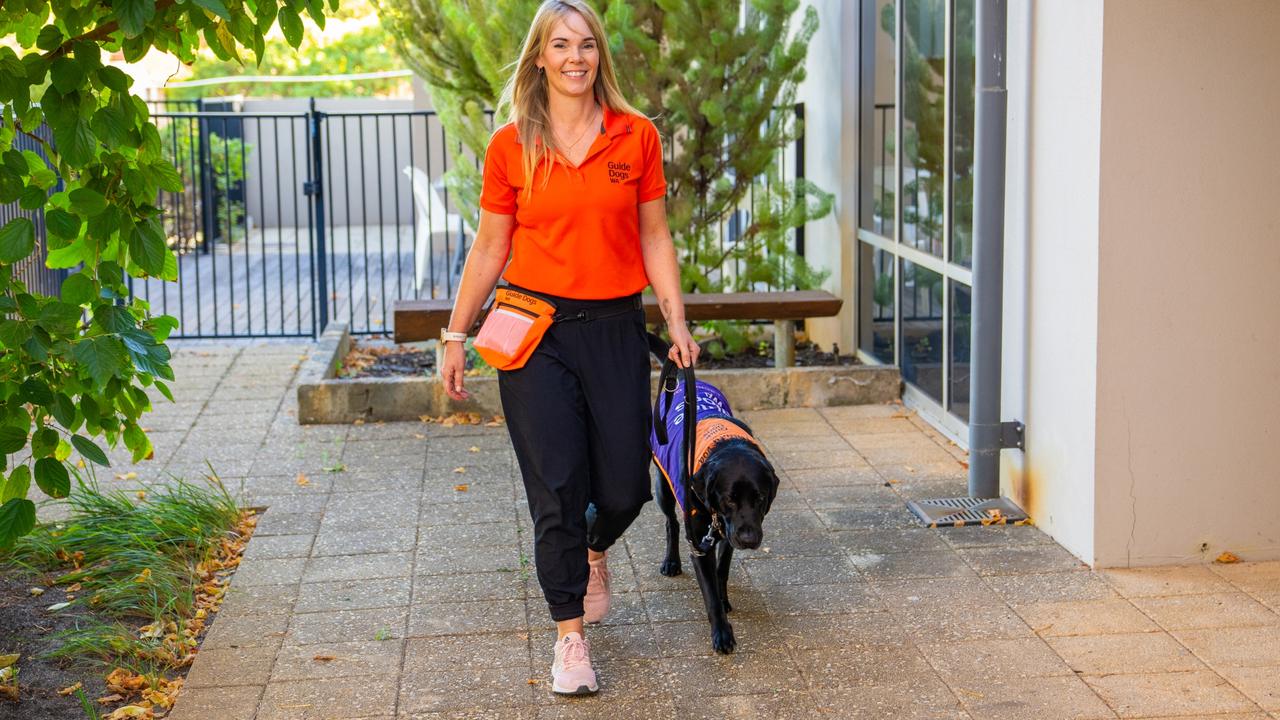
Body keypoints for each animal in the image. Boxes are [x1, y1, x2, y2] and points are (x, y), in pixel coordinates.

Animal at [650, 333, 778, 653]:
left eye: (760, 498)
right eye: (729, 498)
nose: (750, 539)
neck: (726, 445)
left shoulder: (727, 536)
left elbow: (722, 571)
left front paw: (724, 598)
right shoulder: (700, 543)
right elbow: (708, 591)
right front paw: (721, 632)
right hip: (662, 488)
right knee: (671, 522)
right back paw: (671, 562)